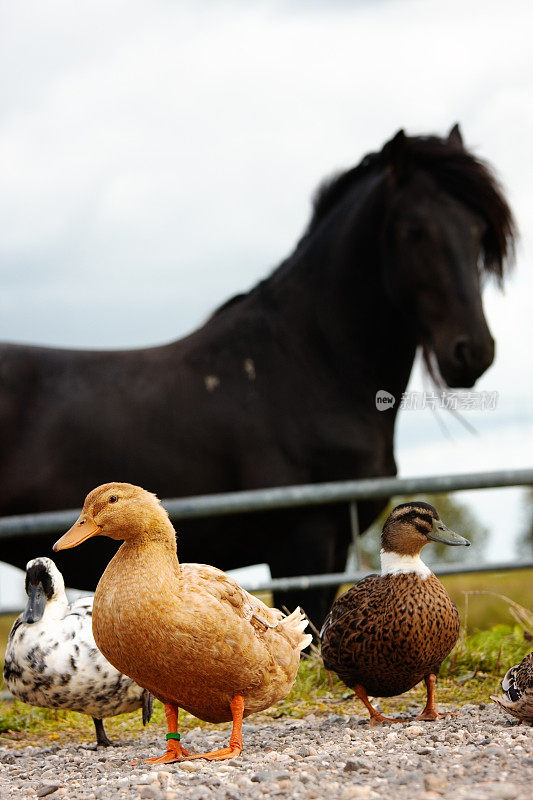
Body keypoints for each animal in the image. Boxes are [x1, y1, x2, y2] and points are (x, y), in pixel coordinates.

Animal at [1, 126, 516, 624]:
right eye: (413, 231)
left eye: (477, 232)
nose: (472, 351)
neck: (304, 367)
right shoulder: (303, 541)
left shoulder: (334, 542)